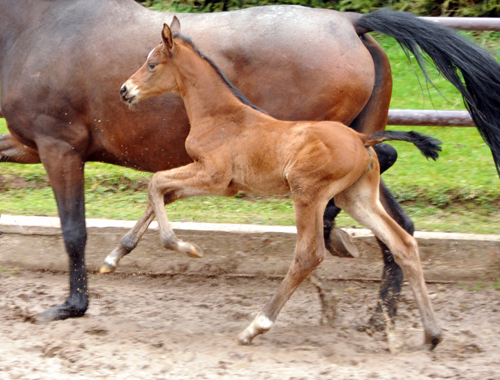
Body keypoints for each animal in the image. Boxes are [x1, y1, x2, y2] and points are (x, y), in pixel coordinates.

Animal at [119, 17, 444, 350]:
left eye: (152, 64)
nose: (124, 90)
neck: (219, 115)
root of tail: (362, 138)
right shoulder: (221, 183)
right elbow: (164, 191)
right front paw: (117, 254)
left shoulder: (215, 177)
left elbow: (156, 183)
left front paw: (182, 246)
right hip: (356, 198)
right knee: (403, 243)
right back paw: (431, 334)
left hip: (308, 193)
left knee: (309, 255)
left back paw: (256, 326)